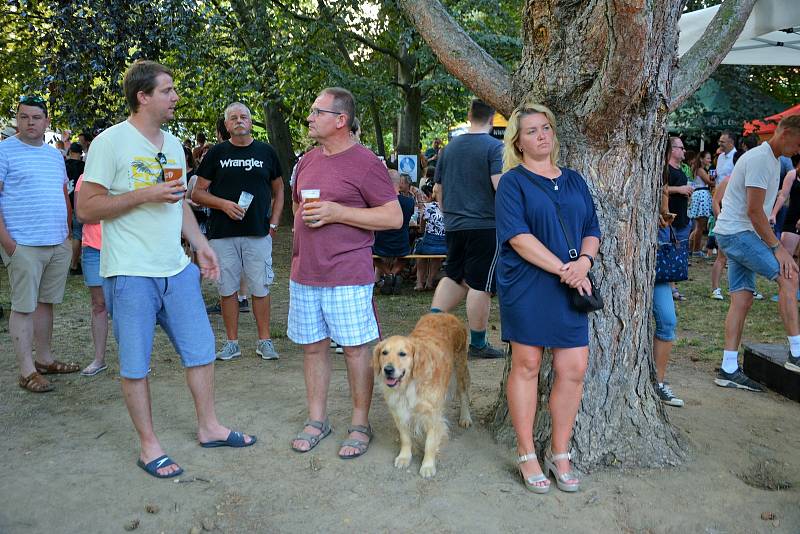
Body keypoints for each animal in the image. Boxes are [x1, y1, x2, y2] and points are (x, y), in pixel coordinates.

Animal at [372, 312, 472, 480]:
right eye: (384, 353)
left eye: (402, 354)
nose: (388, 370)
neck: (408, 385)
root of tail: (446, 314)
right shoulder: (398, 411)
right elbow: (405, 437)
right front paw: (405, 457)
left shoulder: (432, 415)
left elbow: (430, 443)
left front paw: (427, 465)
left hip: (461, 366)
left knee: (464, 393)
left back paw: (465, 417)